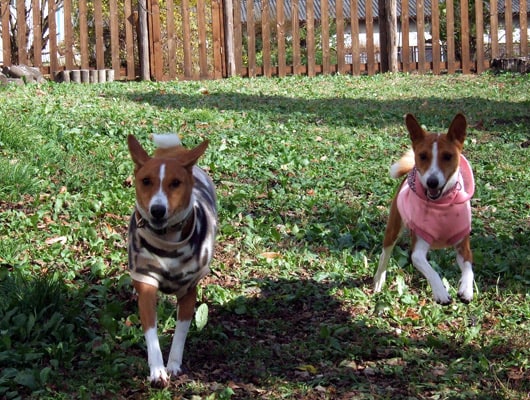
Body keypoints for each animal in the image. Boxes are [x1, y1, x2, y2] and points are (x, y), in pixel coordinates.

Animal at [127, 134, 216, 388]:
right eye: (146, 181)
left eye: (176, 183)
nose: (157, 210)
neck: (167, 240)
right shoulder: (147, 283)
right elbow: (151, 332)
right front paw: (157, 370)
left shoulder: (188, 291)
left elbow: (181, 332)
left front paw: (174, 364)